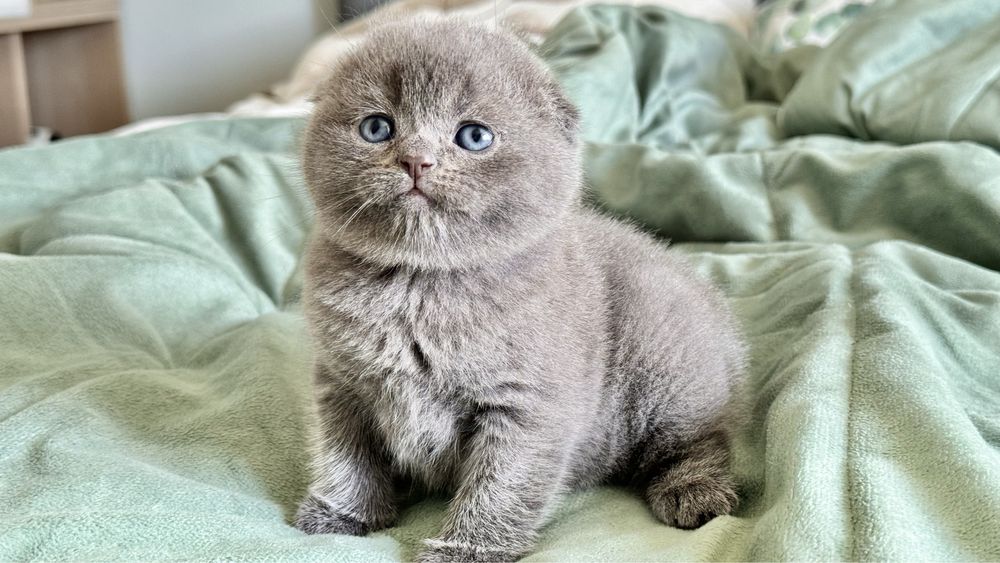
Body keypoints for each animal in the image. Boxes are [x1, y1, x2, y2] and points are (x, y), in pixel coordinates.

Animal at [292, 17, 748, 563]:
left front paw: (466, 549)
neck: (417, 287)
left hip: (666, 362)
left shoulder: (528, 404)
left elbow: (501, 483)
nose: (416, 160)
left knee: (705, 436)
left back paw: (693, 492)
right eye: (377, 127)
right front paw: (340, 515)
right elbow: (344, 456)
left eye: (474, 136)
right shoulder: (340, 384)